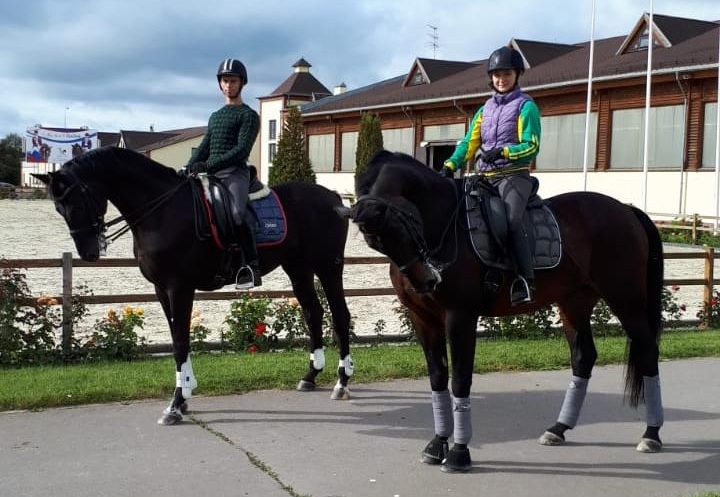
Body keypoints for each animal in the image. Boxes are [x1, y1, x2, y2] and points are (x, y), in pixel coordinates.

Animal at [35, 146, 356, 422]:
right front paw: (185, 393)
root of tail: (333, 197)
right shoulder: (161, 289)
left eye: (77, 200)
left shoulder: (179, 287)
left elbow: (179, 341)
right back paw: (310, 376)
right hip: (298, 268)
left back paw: (342, 382)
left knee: (340, 316)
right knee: (314, 312)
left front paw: (176, 404)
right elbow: (178, 338)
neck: (161, 210)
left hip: (328, 267)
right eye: (59, 208)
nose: (89, 253)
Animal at [340, 151, 668, 472]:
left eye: (399, 227)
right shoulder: (423, 319)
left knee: (648, 352)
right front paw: (437, 445)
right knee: (583, 357)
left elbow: (460, 379)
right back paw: (559, 428)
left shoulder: (460, 316)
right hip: (574, 302)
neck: (448, 223)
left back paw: (651, 434)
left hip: (626, 299)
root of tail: (626, 209)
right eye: (374, 240)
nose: (427, 280)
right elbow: (437, 378)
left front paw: (458, 452)